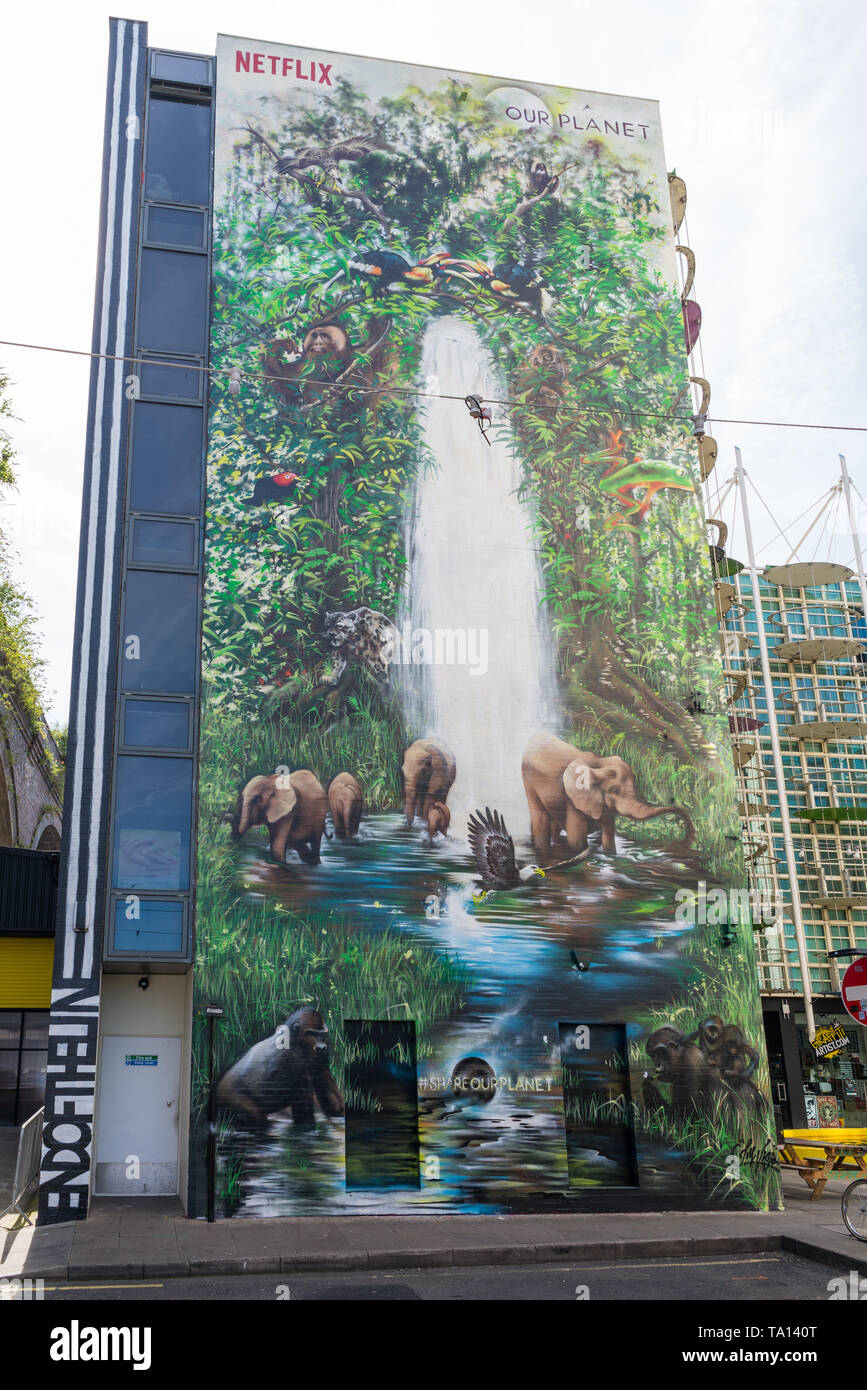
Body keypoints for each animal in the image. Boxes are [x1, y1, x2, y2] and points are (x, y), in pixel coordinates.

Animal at [215, 1011, 343, 1128]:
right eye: (311, 1033)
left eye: (323, 1034)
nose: (321, 1047)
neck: (292, 1038)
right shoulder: (292, 1060)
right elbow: (305, 1117)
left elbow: (334, 1104)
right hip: (230, 1096)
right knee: (257, 1120)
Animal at [516, 733, 694, 850]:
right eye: (613, 790)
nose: (684, 842)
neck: (598, 763)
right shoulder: (573, 800)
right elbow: (576, 842)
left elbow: (609, 839)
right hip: (528, 780)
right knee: (540, 818)